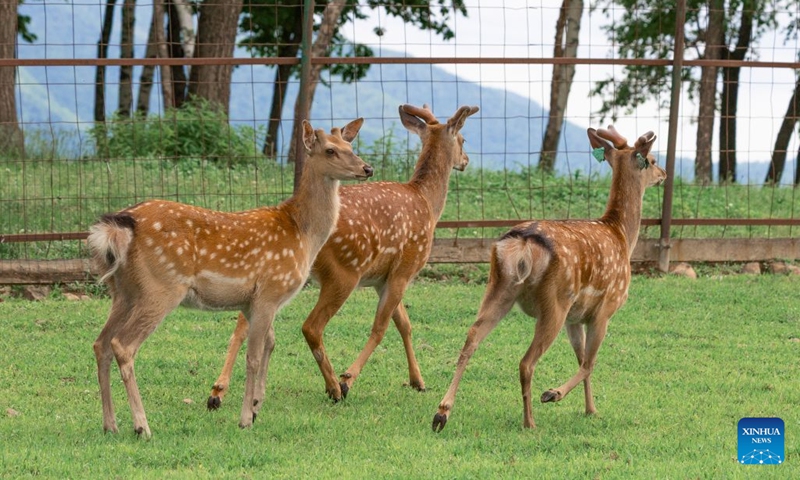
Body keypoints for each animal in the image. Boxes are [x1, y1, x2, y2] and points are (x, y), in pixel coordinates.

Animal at [88, 118, 373, 437]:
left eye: (350, 146)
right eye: (330, 150)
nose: (367, 168)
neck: (303, 234)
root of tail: (117, 229)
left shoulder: (255, 301)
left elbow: (270, 345)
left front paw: (257, 406)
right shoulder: (270, 290)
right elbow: (254, 355)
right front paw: (246, 418)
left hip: (121, 290)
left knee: (100, 343)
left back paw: (110, 425)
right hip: (160, 287)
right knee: (123, 345)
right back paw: (142, 426)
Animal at [205, 104, 479, 409]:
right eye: (463, 139)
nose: (466, 160)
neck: (428, 204)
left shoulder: (382, 278)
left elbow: (404, 324)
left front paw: (417, 381)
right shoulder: (405, 268)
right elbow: (381, 327)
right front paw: (349, 378)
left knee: (243, 323)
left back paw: (217, 391)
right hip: (344, 272)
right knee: (312, 326)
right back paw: (334, 386)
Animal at [431, 126, 667, 432]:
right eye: (651, 160)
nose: (664, 174)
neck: (621, 235)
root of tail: (522, 244)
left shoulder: (575, 318)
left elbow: (581, 360)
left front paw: (591, 410)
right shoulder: (605, 310)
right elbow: (589, 363)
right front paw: (554, 394)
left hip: (499, 287)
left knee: (471, 339)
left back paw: (442, 413)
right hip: (555, 300)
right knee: (526, 362)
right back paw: (530, 420)